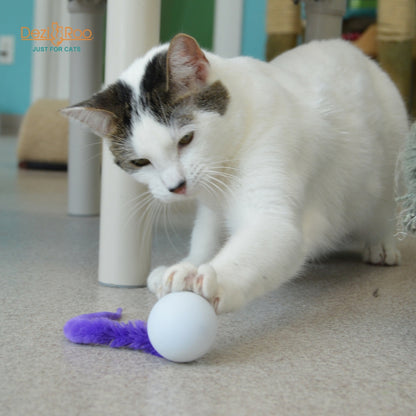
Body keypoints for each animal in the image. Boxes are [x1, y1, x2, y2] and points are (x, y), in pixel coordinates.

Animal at [62, 34, 410, 314]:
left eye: (186, 139)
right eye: (140, 162)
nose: (176, 186)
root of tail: (350, 49)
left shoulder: (274, 204)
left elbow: (265, 240)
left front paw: (208, 277)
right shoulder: (211, 205)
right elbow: (206, 234)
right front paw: (189, 263)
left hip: (391, 165)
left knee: (385, 208)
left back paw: (381, 243)